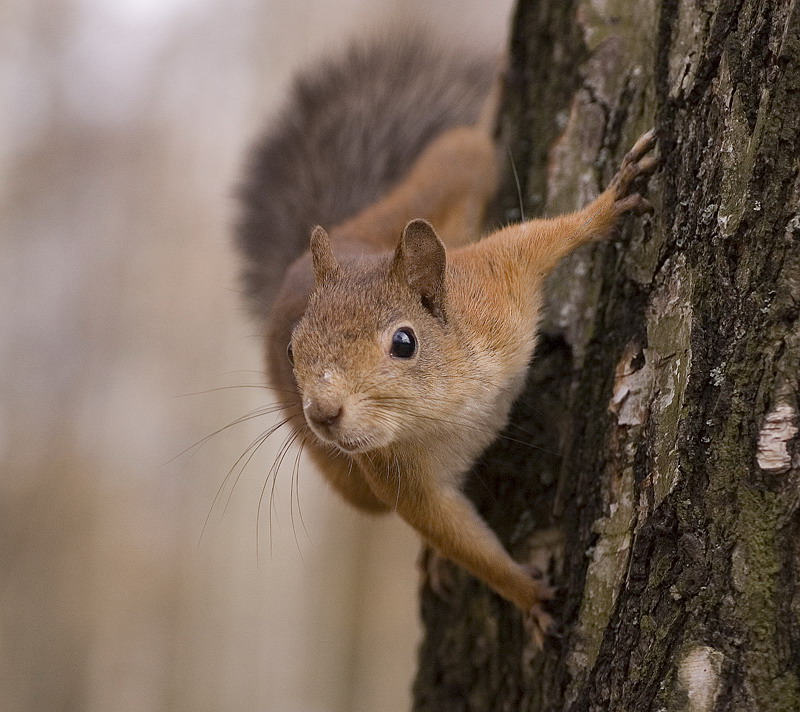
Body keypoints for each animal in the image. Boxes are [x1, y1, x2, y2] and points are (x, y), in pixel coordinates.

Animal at [234, 32, 660, 644]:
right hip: (352, 484)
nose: (322, 414)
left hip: (444, 185)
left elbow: (542, 237)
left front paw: (610, 202)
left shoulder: (494, 285)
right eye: (293, 352)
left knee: (466, 146)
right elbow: (459, 540)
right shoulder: (399, 479)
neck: (444, 407)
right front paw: (527, 595)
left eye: (404, 343)